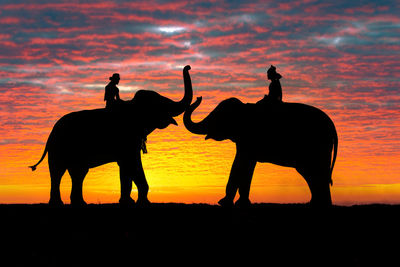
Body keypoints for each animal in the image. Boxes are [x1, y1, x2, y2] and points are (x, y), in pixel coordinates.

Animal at [30, 65, 194, 207]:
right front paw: (143, 203)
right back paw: (58, 203)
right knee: (58, 172)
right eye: (158, 104)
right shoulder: (126, 139)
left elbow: (126, 167)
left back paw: (80, 203)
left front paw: (128, 202)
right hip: (58, 147)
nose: (188, 67)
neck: (133, 106)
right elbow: (132, 164)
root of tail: (52, 131)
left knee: (78, 173)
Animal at [184, 82, 338, 208]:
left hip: (318, 146)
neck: (245, 108)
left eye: (219, 117)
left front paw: (225, 203)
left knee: (316, 173)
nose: (199, 98)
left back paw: (321, 205)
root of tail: (332, 126)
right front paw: (240, 203)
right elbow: (245, 164)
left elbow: (241, 163)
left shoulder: (249, 139)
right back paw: (316, 204)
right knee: (313, 174)